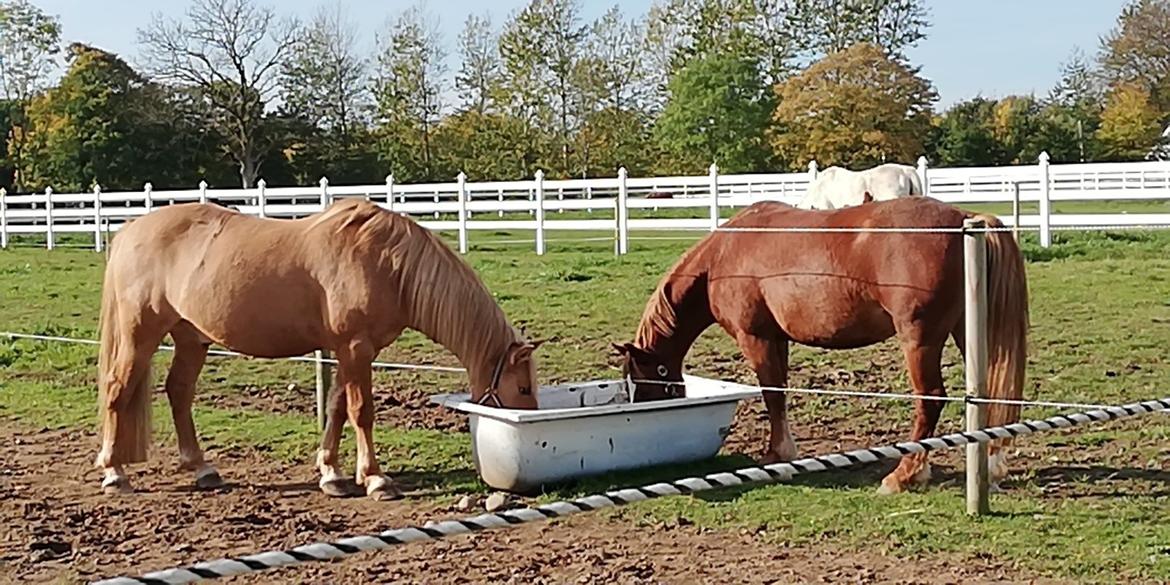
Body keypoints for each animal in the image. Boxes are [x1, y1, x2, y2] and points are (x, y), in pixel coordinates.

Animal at [94, 198, 542, 500]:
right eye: (522, 389)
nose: (528, 423)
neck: (386, 262)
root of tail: (130, 229)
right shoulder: (356, 348)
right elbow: (362, 412)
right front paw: (375, 478)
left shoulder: (346, 350)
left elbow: (338, 409)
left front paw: (332, 474)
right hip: (140, 334)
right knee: (118, 390)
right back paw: (115, 474)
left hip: (191, 338)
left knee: (179, 392)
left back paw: (201, 468)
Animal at [617, 196, 1029, 493]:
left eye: (646, 381)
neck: (723, 257)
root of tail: (963, 216)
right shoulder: (776, 340)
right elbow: (779, 394)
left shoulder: (757, 339)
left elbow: (772, 394)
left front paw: (776, 458)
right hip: (965, 332)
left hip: (919, 339)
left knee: (930, 399)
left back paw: (903, 475)